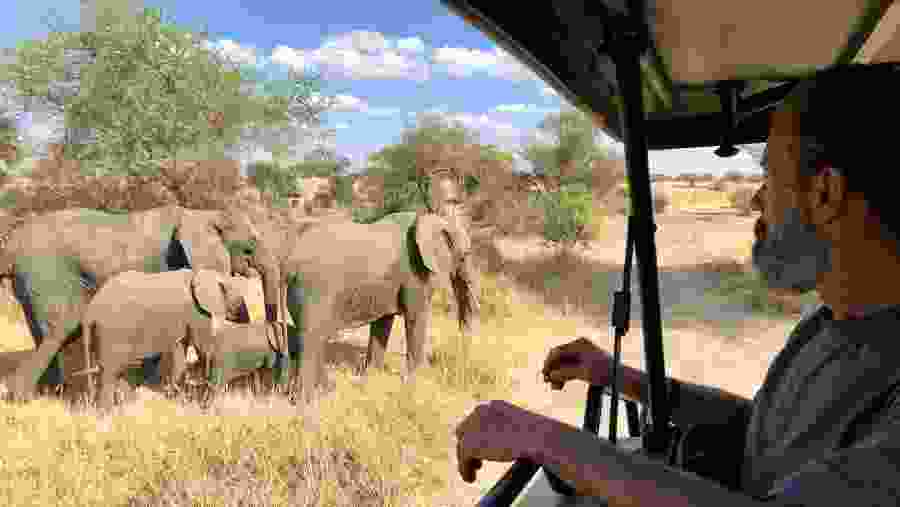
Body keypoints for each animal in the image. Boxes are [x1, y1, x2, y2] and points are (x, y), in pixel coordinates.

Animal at [74, 269, 250, 409]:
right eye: (239, 302)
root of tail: (90, 310)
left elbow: (180, 352)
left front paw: (174, 397)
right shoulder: (197, 311)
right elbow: (206, 348)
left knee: (118, 368)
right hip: (113, 329)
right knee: (111, 371)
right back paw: (108, 412)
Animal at [274, 210, 480, 401]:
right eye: (464, 256)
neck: (435, 218)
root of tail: (288, 264)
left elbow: (383, 322)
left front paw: (373, 377)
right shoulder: (415, 273)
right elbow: (416, 317)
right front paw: (415, 380)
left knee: (314, 336)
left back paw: (322, 391)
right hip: (314, 289)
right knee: (311, 336)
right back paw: (306, 400)